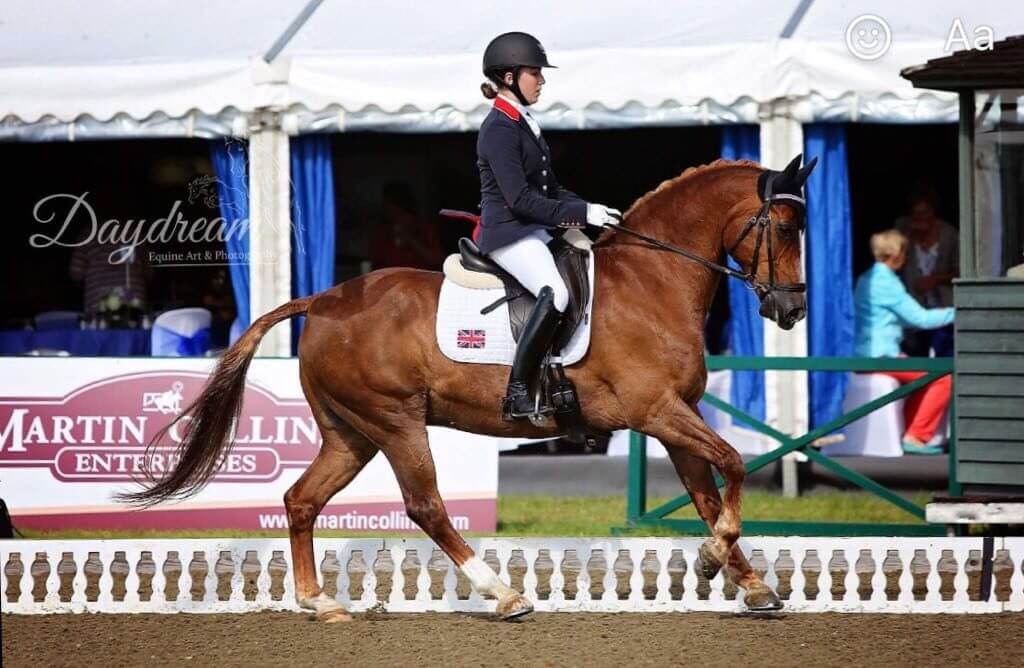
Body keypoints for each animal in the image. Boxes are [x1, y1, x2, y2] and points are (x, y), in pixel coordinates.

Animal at [120, 155, 816, 622]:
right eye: (784, 229)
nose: (791, 311)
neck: (654, 281)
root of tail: (322, 300)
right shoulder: (657, 411)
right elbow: (734, 463)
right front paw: (712, 559)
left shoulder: (676, 415)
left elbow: (707, 491)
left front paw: (749, 583)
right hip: (396, 422)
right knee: (425, 505)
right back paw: (502, 594)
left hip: (351, 433)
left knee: (301, 500)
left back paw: (320, 602)